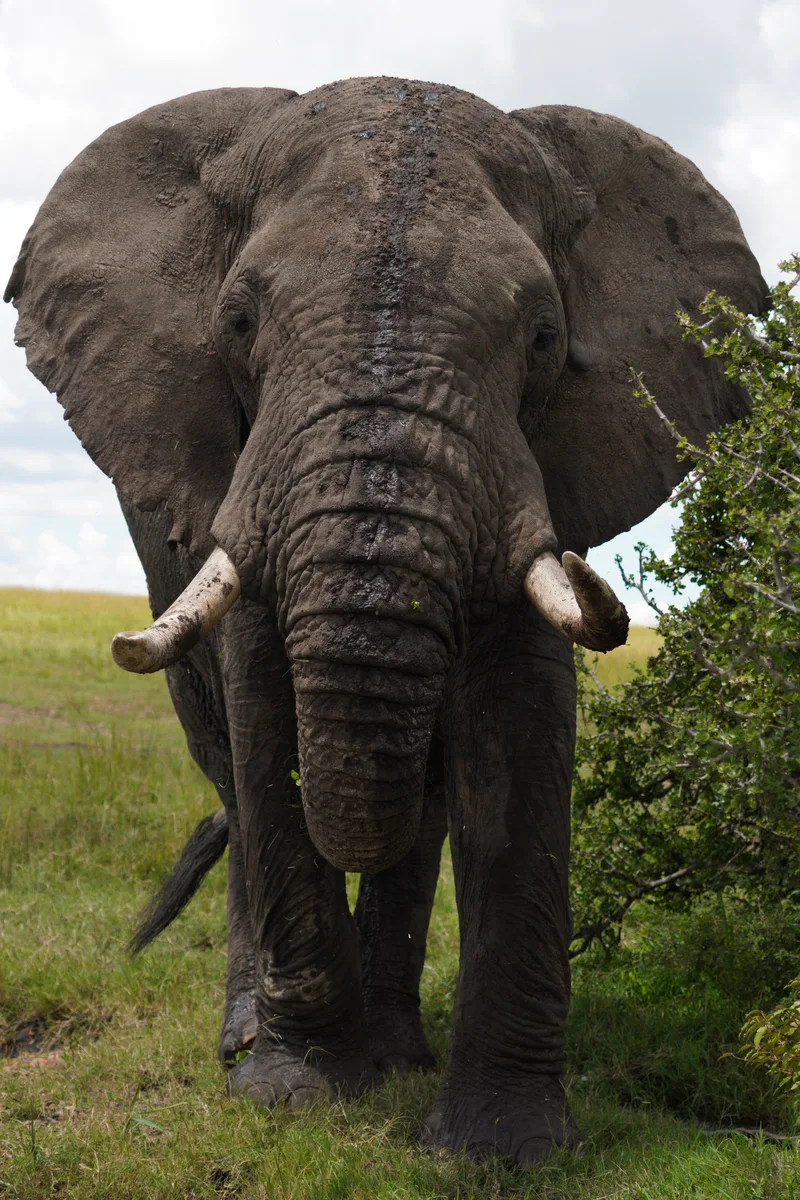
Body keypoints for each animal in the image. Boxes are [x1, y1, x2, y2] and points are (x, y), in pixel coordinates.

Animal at [6, 77, 765, 1166]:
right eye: (238, 322)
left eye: (543, 339)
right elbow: (264, 713)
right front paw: (294, 1096)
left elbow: (515, 725)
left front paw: (502, 1149)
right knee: (231, 765)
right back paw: (256, 1038)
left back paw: (396, 1050)